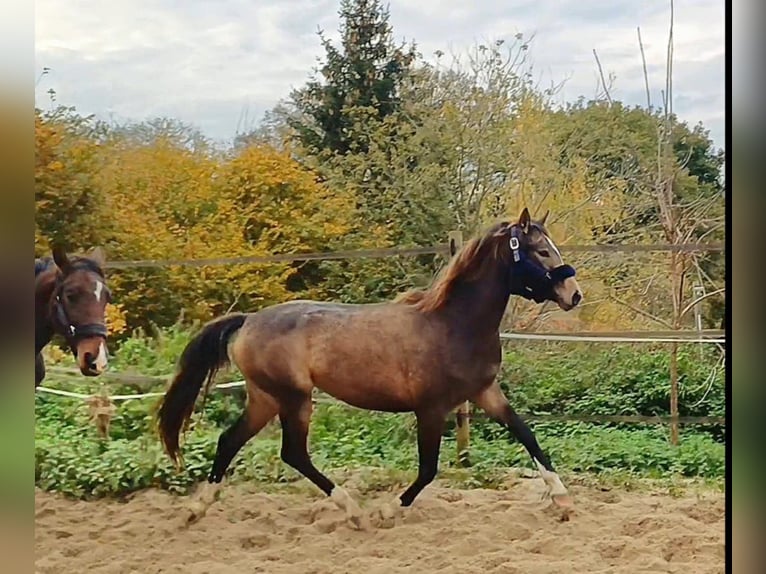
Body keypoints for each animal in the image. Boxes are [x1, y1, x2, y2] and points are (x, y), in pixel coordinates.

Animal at [159, 210, 584, 532]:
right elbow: (428, 469)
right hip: (294, 398)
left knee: (230, 441)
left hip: (266, 398)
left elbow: (527, 435)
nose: (574, 294)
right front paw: (386, 511)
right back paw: (355, 513)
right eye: (541, 251)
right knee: (293, 453)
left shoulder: (484, 392)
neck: (452, 324)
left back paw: (196, 510)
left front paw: (563, 500)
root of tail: (247, 321)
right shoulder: (431, 409)